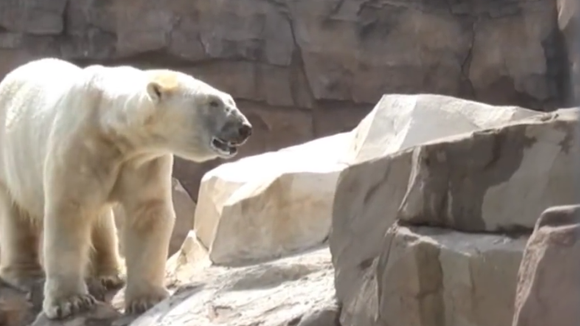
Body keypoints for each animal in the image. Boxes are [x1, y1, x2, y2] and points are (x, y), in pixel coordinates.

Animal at [0, 58, 249, 318]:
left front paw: (146, 299)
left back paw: (111, 273)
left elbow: (147, 212)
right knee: (17, 216)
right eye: (213, 102)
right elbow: (70, 210)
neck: (110, 124)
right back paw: (26, 275)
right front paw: (70, 302)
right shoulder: (79, 146)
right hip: (11, 156)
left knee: (101, 218)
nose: (245, 127)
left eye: (230, 100)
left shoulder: (144, 161)